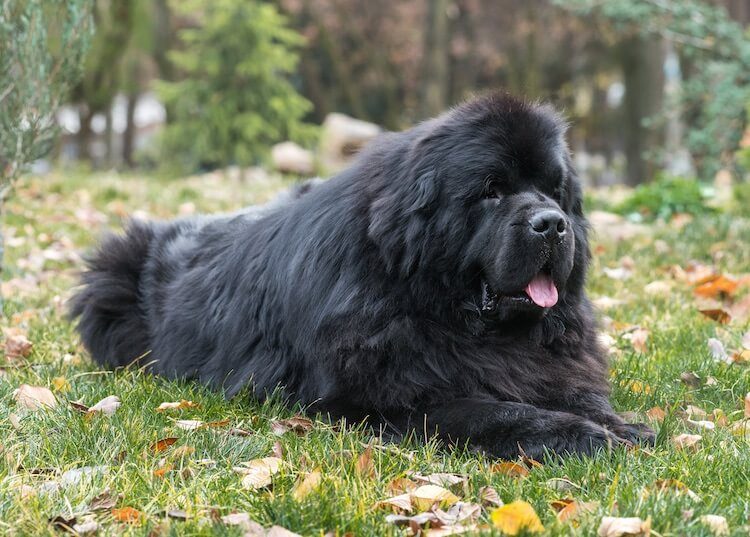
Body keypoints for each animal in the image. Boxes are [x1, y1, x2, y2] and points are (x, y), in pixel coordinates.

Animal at [72, 92, 656, 456]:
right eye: (492, 190)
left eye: (556, 191)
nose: (552, 224)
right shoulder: (386, 398)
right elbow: (495, 411)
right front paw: (582, 436)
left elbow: (571, 390)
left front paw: (622, 425)